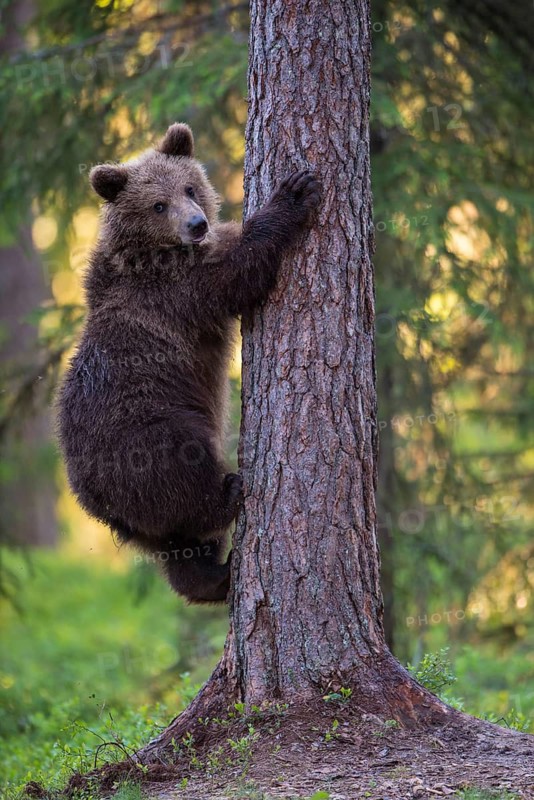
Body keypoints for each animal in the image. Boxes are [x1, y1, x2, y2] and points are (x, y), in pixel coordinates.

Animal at [56, 122, 320, 603]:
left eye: (189, 187)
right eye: (158, 204)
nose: (197, 224)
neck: (153, 251)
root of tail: (91, 495)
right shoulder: (177, 291)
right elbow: (239, 270)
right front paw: (293, 193)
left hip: (141, 510)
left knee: (177, 546)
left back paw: (216, 576)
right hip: (148, 436)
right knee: (187, 475)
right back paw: (229, 493)